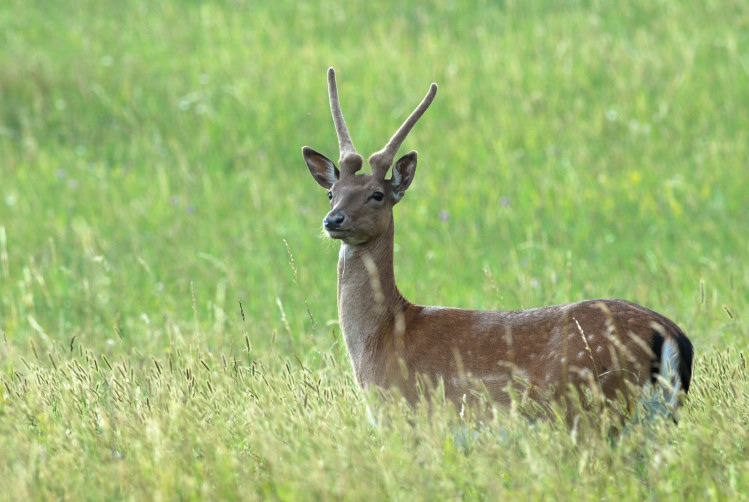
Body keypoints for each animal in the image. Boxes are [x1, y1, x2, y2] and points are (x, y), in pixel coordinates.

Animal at [300, 66, 692, 420]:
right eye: (332, 193)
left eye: (377, 195)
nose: (333, 220)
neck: (381, 339)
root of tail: (673, 336)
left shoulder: (411, 416)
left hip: (594, 407)